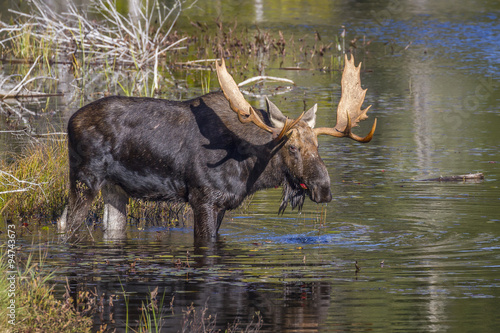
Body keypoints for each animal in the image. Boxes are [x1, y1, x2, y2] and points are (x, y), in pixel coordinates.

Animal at [57, 54, 376, 241]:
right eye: (293, 148)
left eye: (318, 146)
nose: (324, 189)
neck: (251, 171)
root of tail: (70, 121)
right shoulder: (203, 199)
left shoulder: (223, 204)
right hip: (85, 179)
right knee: (67, 223)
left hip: (115, 189)